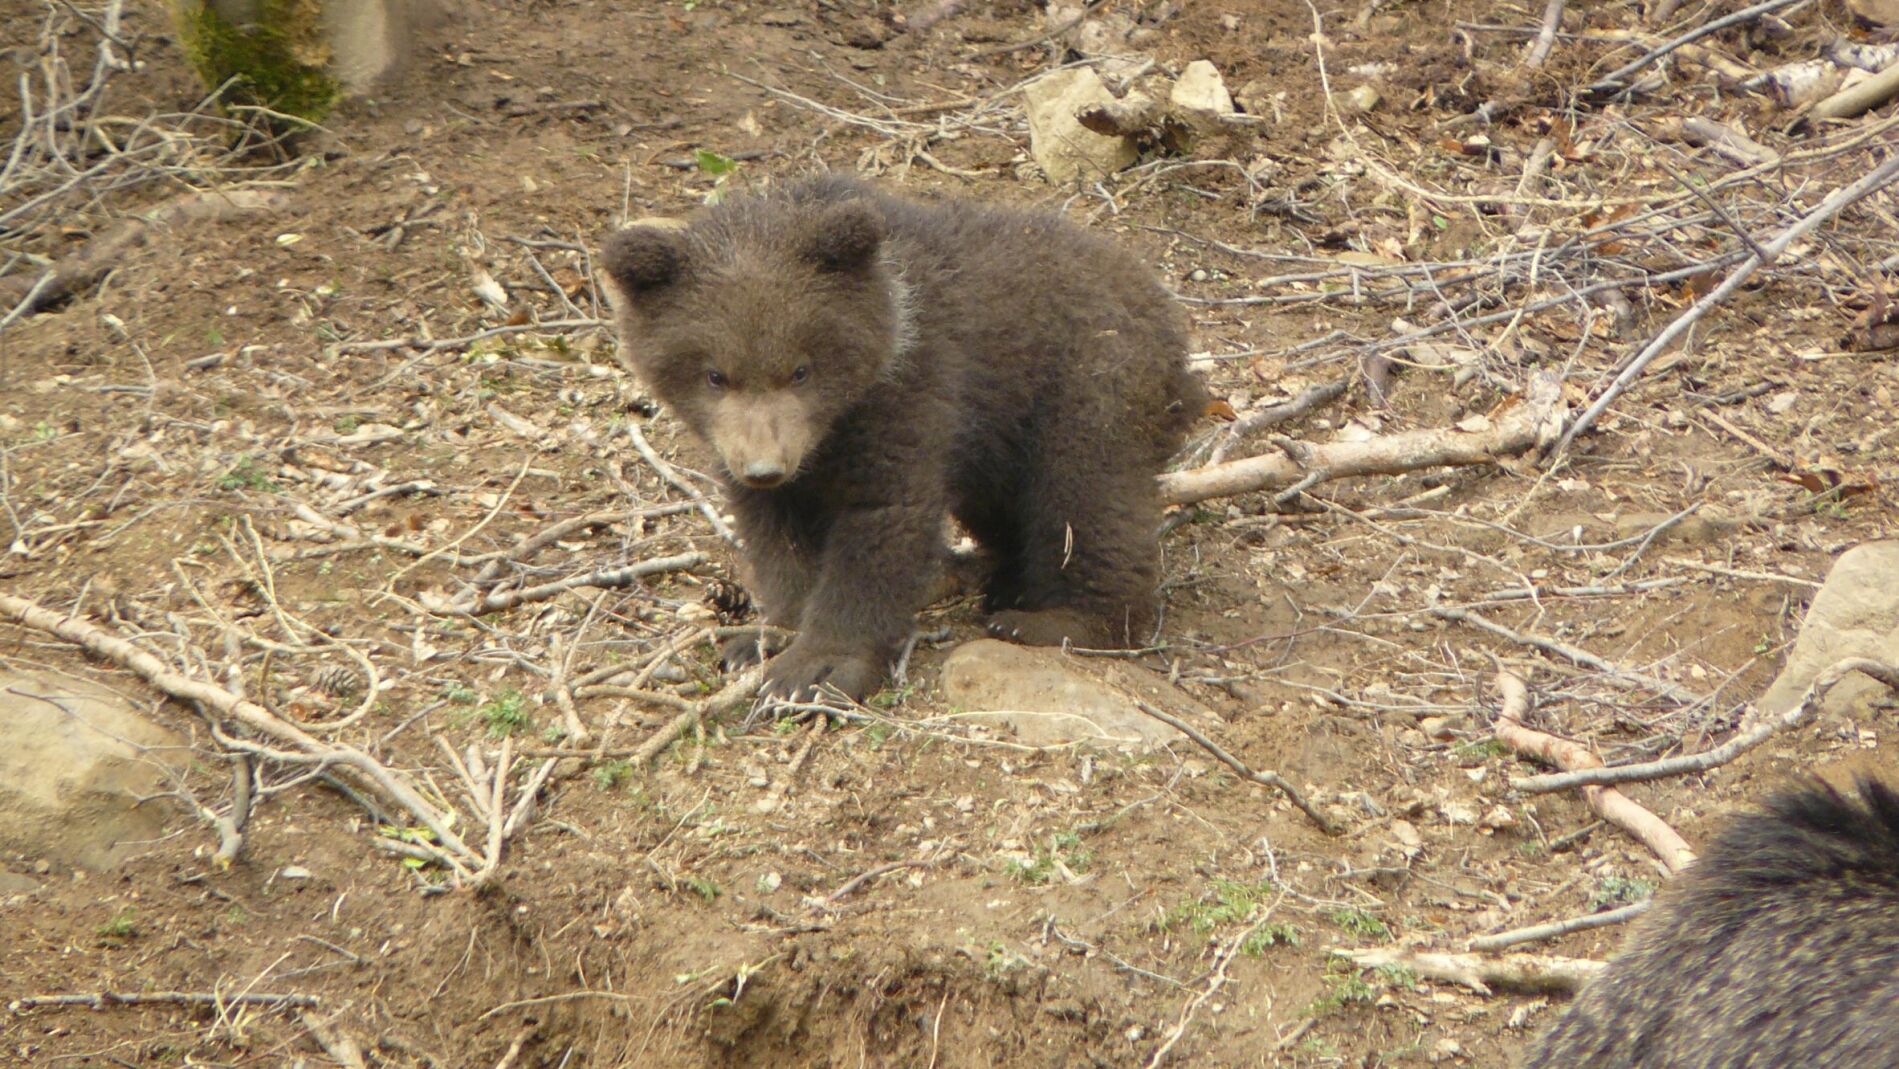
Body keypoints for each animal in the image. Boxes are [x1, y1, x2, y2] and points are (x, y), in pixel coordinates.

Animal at [600, 176, 1206, 702]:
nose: (767, 468)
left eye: (801, 369)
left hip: (1088, 388)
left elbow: (881, 522)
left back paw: (1056, 620)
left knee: (1087, 503)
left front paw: (817, 668)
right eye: (715, 374)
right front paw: (765, 636)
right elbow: (779, 539)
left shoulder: (911, 397)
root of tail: (1168, 314)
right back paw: (1004, 581)